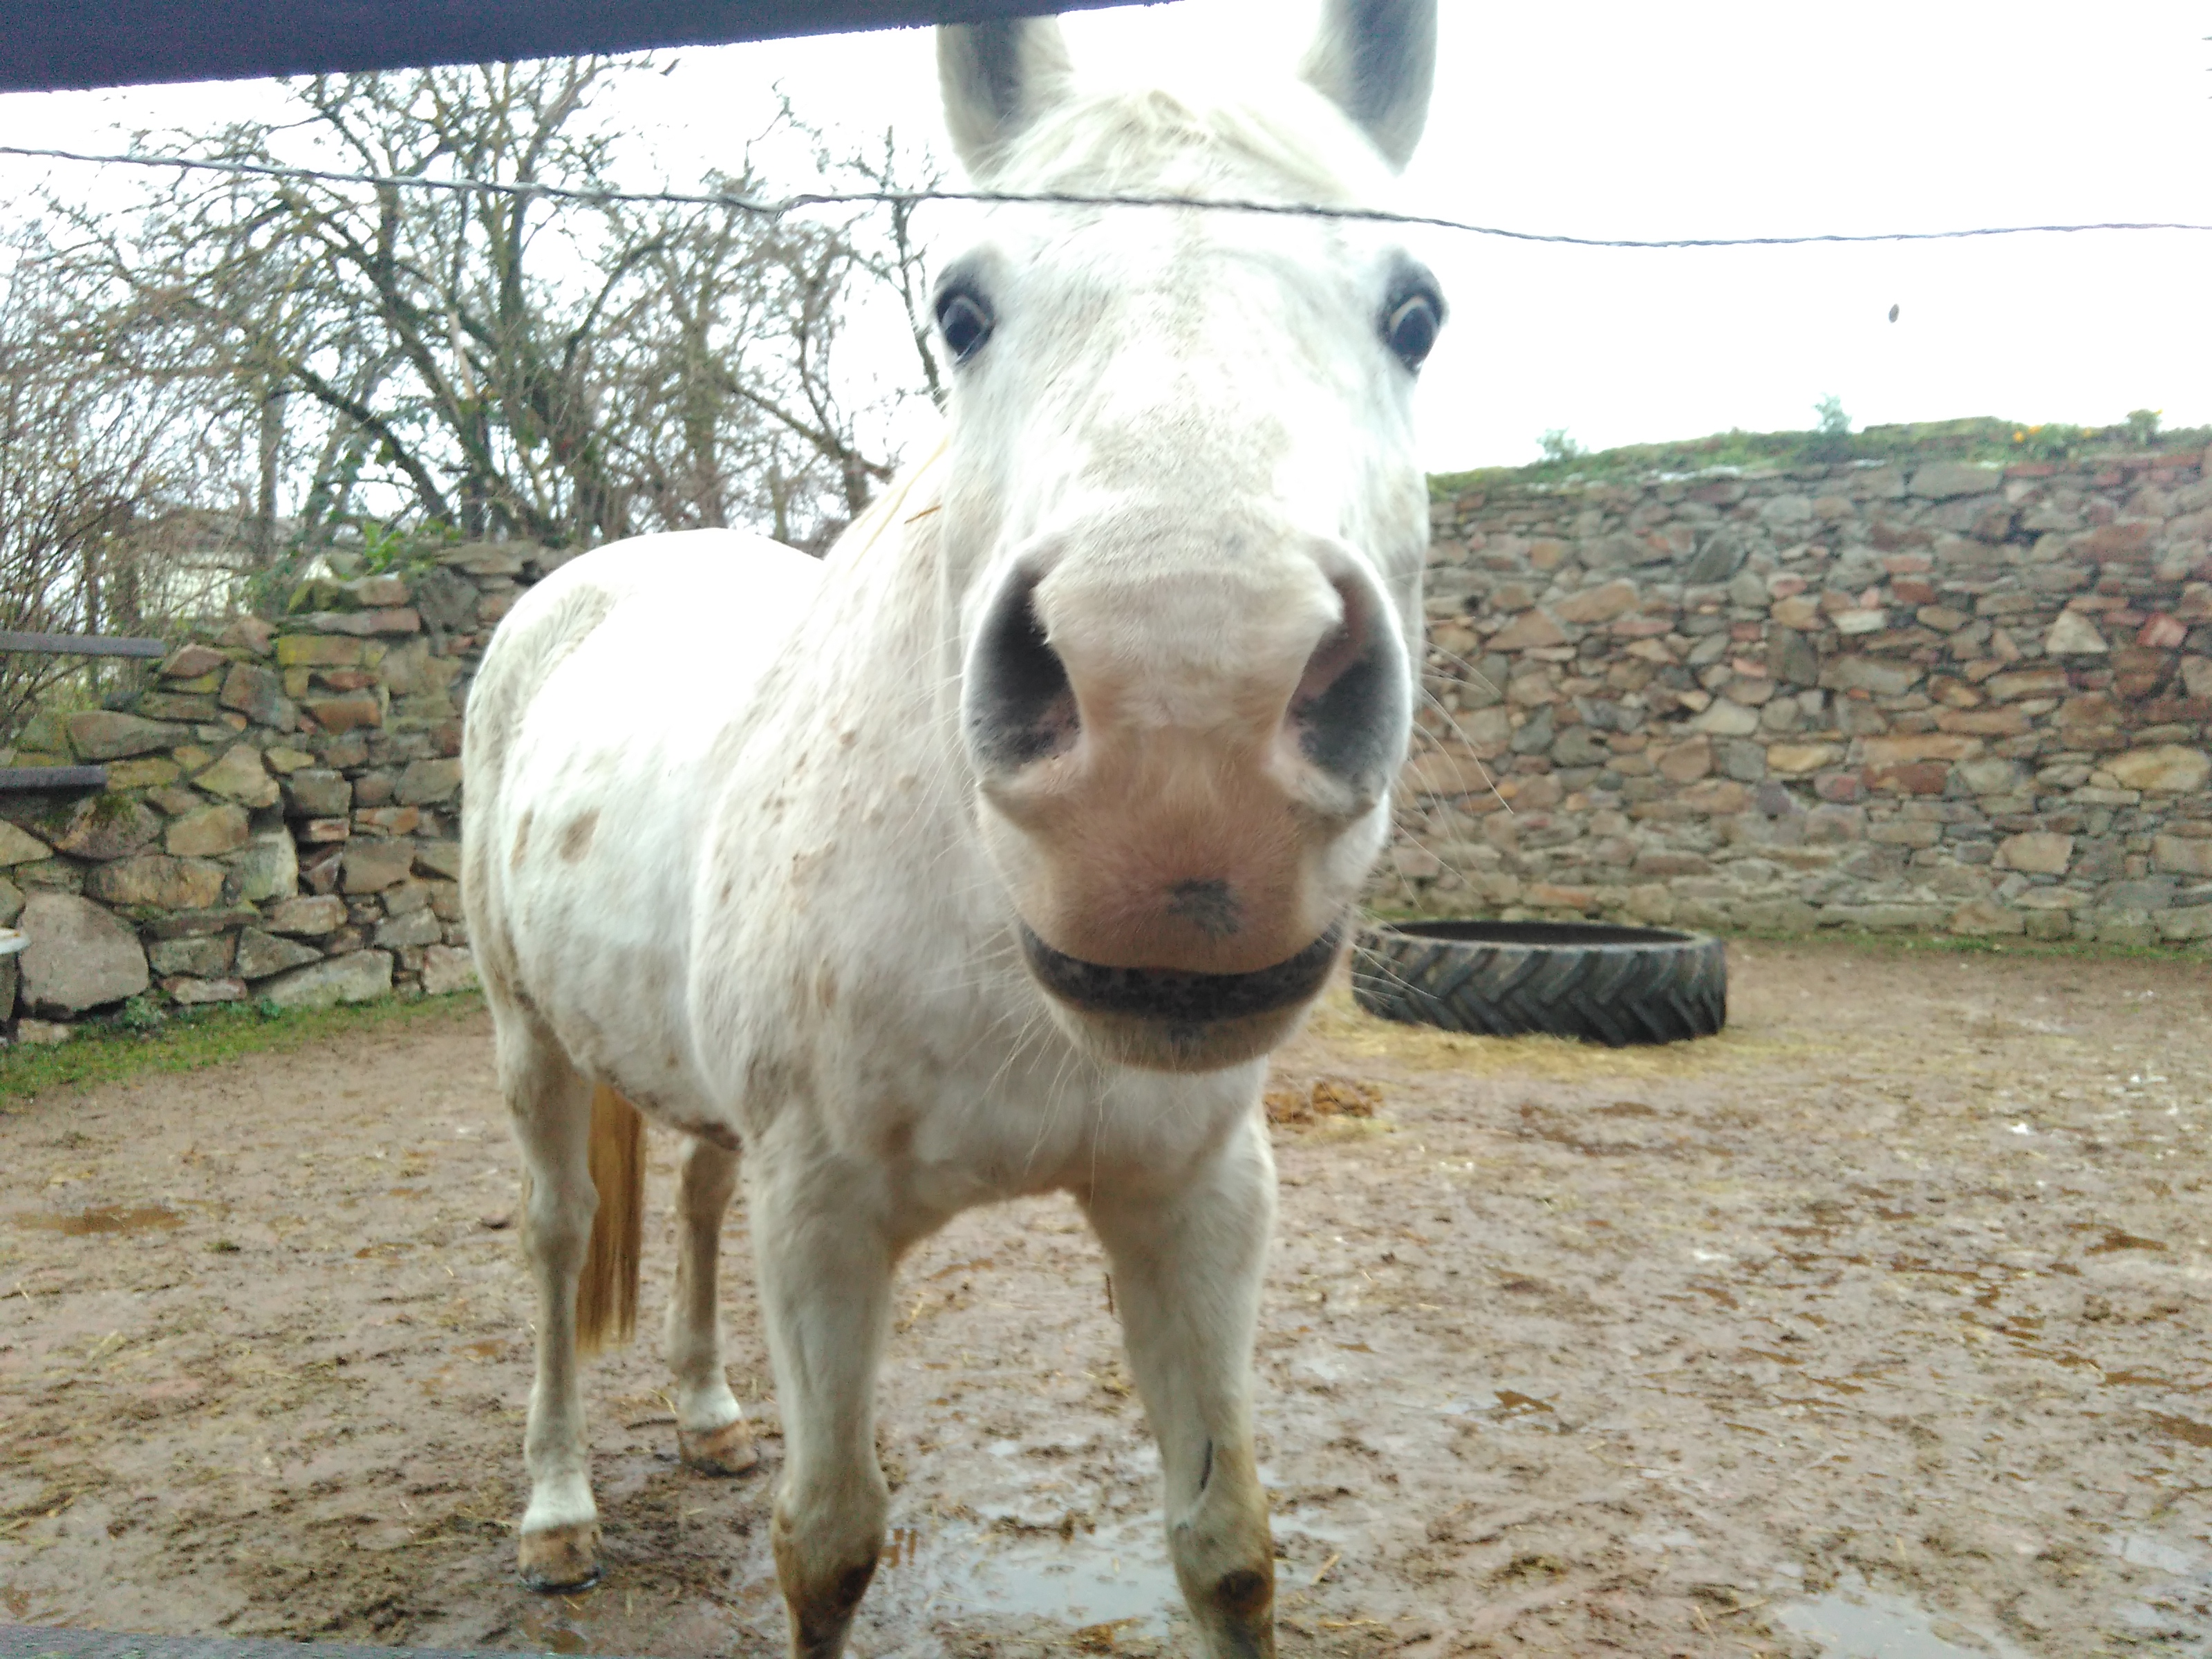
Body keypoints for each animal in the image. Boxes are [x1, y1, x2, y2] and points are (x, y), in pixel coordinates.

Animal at [459, 4, 1442, 1652]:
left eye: (1417, 313)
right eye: (962, 311)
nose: (1184, 726)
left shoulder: (1194, 1199)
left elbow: (1228, 1545)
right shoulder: (823, 1220)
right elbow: (827, 1547)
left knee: (695, 1193)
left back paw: (708, 1415)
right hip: (530, 1042)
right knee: (554, 1234)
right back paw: (554, 1510)